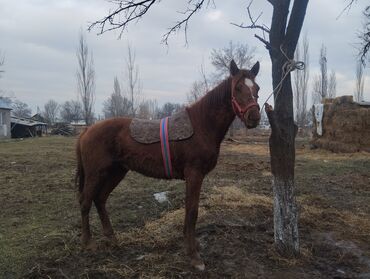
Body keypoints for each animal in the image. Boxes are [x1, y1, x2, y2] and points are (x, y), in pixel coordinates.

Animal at [76, 59, 260, 272]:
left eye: (256, 88)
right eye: (237, 87)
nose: (254, 117)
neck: (202, 125)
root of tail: (87, 130)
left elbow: (190, 210)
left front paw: (191, 245)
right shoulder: (194, 175)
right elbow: (192, 211)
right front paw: (194, 256)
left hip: (116, 172)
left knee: (100, 199)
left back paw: (111, 237)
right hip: (96, 173)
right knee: (86, 201)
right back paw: (88, 242)